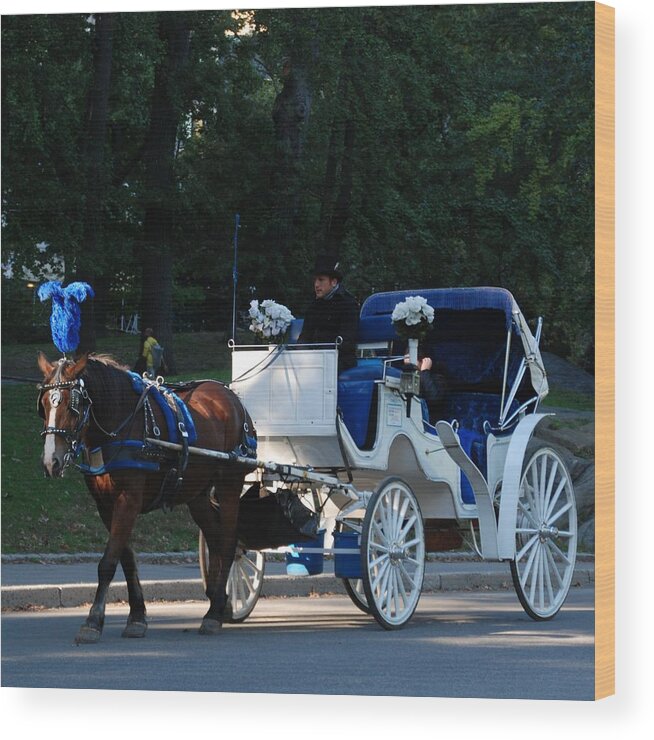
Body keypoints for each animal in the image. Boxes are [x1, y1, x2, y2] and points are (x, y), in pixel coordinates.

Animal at [35, 352, 256, 640]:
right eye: (43, 405)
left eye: (73, 406)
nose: (51, 461)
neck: (119, 423)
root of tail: (231, 396)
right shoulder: (105, 505)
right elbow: (126, 559)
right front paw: (137, 616)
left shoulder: (128, 500)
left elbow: (108, 562)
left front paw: (93, 620)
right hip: (196, 495)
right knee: (216, 541)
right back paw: (219, 604)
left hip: (229, 485)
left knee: (229, 544)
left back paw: (213, 614)